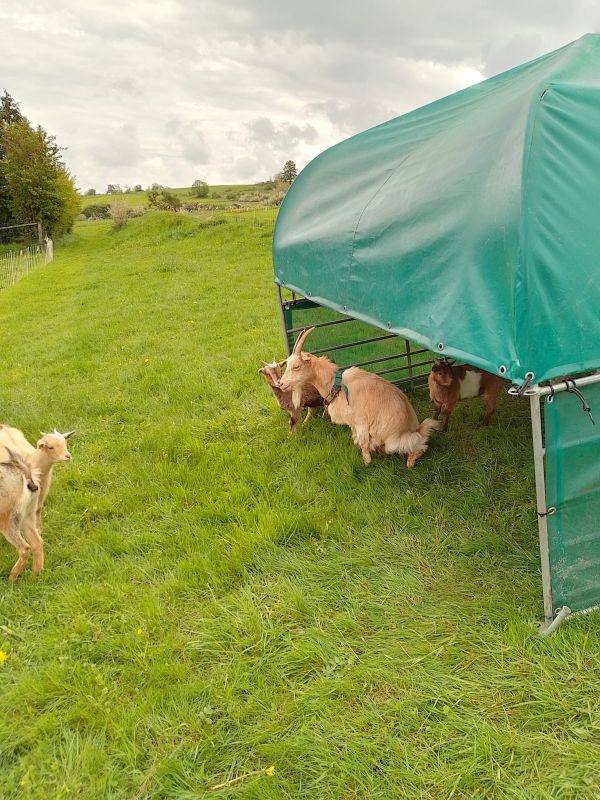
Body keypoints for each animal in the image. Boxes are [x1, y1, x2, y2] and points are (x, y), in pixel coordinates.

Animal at [278, 328, 440, 466]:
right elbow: (357, 439)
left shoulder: (361, 422)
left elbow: (364, 444)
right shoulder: (353, 424)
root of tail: (417, 428)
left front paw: (366, 463)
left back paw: (410, 462)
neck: (336, 385)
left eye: (296, 366)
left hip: (398, 442)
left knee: (420, 447)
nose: (281, 384)